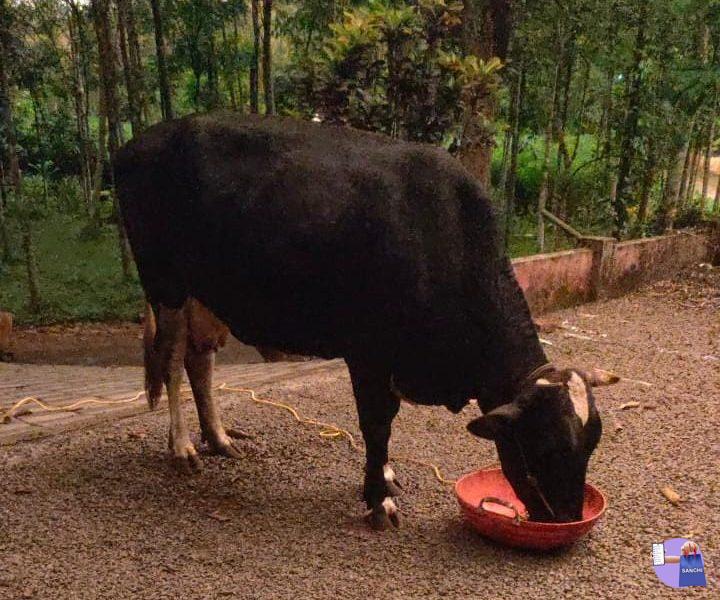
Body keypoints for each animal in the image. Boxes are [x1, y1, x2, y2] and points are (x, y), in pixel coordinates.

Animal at [115, 111, 616, 524]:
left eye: (592, 444)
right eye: (545, 447)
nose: (568, 519)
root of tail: (141, 141)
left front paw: (386, 478)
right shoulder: (369, 352)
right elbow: (377, 424)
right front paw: (379, 498)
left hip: (206, 293)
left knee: (199, 362)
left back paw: (218, 439)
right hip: (166, 285)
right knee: (172, 360)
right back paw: (182, 447)